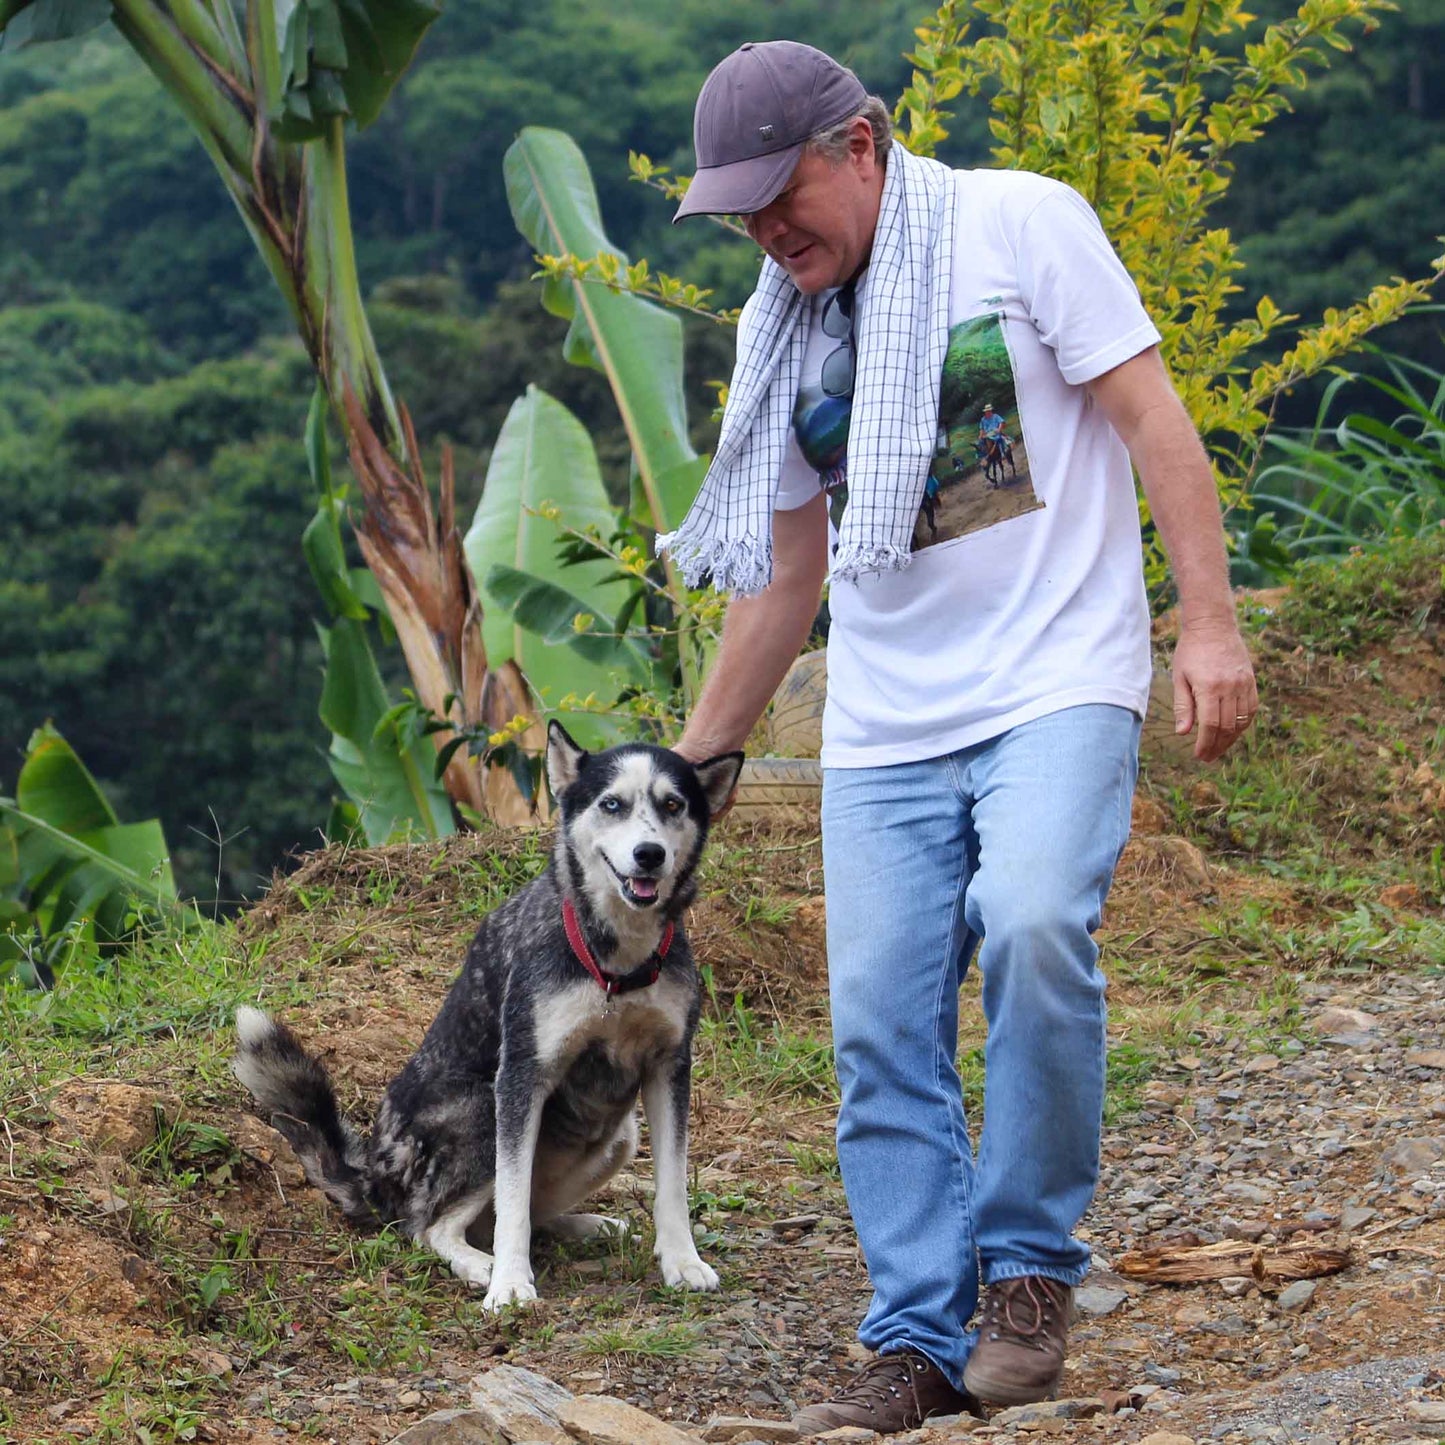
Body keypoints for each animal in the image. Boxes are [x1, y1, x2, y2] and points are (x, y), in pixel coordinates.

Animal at [235, 722, 745, 1312]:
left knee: (522, 1215)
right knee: (430, 1227)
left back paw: (588, 1227)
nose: (649, 854)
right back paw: (481, 1263)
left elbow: (673, 1186)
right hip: (481, 1110)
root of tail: (375, 1177)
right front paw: (510, 1283)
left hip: (620, 1136)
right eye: (612, 804)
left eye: (672, 804)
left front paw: (682, 1261)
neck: (616, 965)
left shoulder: (669, 1068)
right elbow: (512, 1201)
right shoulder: (520, 1078)